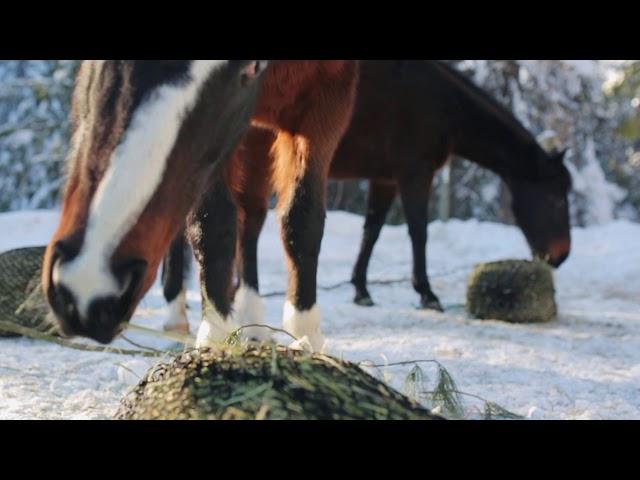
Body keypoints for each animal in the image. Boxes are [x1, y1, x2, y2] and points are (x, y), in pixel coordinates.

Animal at [42, 61, 358, 352]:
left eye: (252, 67)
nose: (87, 282)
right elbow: (213, 225)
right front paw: (217, 337)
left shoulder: (327, 97)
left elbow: (302, 219)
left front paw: (304, 335)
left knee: (251, 218)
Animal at [162, 59, 572, 330]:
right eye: (555, 196)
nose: (560, 256)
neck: (439, 100)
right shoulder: (414, 173)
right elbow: (418, 231)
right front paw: (427, 294)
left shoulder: (384, 179)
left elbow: (371, 231)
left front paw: (360, 288)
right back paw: (179, 306)